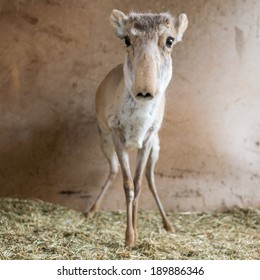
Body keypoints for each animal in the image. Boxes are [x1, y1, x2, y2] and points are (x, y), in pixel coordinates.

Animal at [86, 9, 188, 247]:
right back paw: (90, 211)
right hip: (104, 143)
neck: (138, 120)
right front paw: (129, 237)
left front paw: (137, 232)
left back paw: (168, 225)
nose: (144, 91)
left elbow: (139, 183)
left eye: (170, 40)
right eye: (127, 39)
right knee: (114, 170)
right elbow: (128, 185)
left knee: (150, 179)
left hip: (156, 149)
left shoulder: (149, 138)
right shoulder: (117, 135)